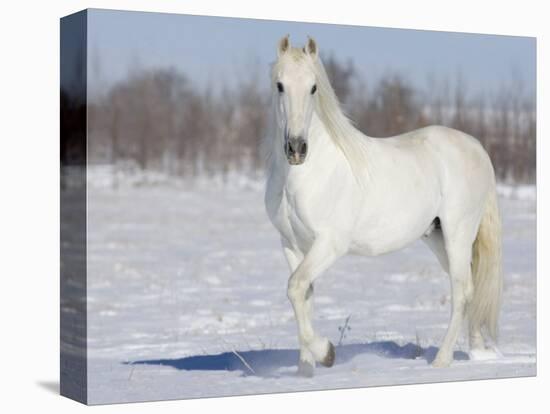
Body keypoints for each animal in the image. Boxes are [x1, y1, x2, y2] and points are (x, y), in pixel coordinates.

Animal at [268, 35, 504, 376]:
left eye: (313, 87)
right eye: (280, 85)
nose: (296, 148)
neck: (306, 174)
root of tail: (477, 147)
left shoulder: (329, 244)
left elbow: (296, 287)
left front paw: (326, 354)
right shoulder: (291, 244)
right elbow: (304, 296)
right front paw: (305, 370)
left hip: (458, 234)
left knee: (462, 290)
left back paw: (442, 360)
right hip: (437, 237)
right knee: (471, 286)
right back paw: (477, 352)